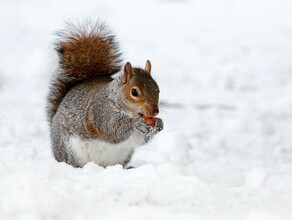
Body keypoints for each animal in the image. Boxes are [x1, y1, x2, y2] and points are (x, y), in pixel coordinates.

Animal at [46, 21, 163, 168]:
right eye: (134, 92)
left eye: (158, 89)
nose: (155, 112)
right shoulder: (101, 112)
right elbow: (113, 131)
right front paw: (137, 123)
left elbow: (141, 140)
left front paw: (159, 123)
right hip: (70, 149)